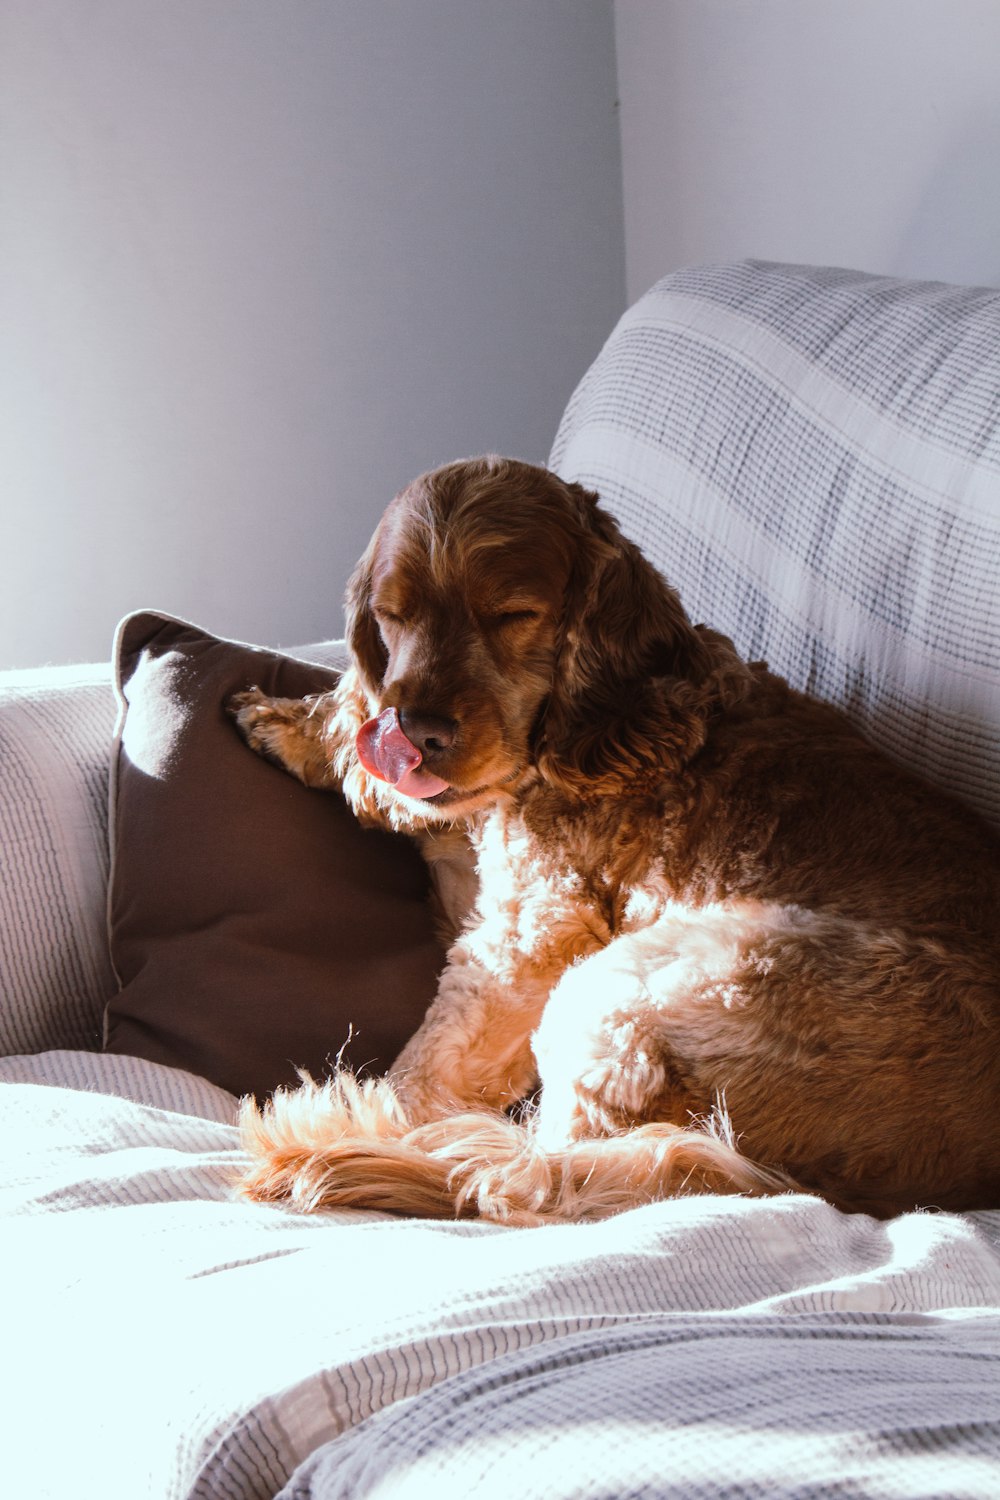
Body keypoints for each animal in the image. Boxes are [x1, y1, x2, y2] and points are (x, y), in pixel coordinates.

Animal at [230, 453, 1000, 1218]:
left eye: (513, 615)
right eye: (391, 617)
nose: (416, 734)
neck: (606, 722)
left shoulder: (528, 938)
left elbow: (429, 1069)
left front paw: (382, 1110)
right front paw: (306, 728)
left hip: (632, 992)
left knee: (530, 1171)